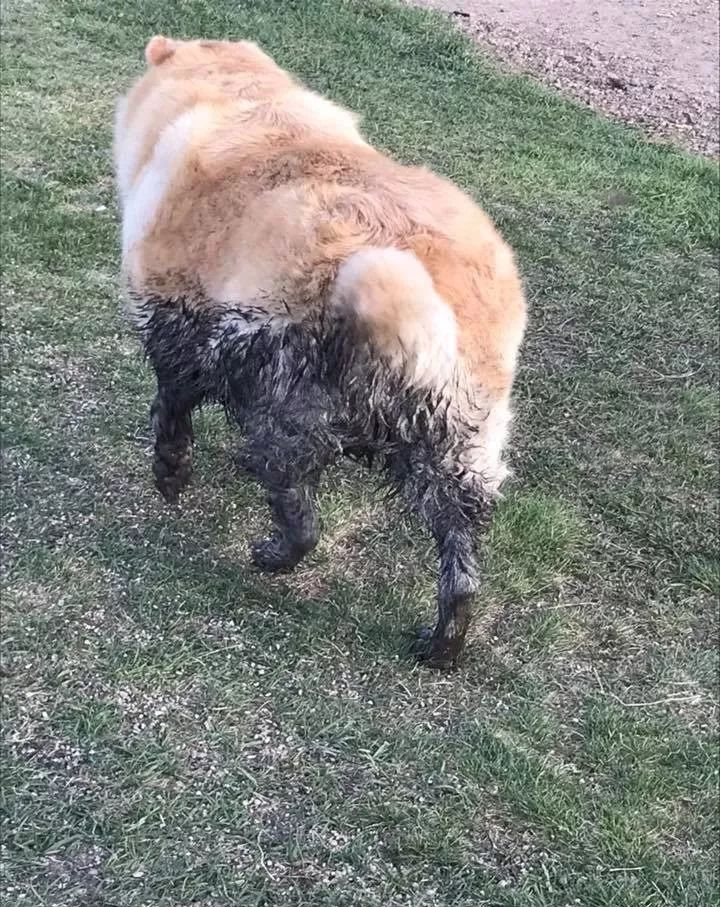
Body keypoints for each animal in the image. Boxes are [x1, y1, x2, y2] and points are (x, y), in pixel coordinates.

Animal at [115, 37, 524, 668]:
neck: (240, 95)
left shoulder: (175, 321)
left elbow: (171, 408)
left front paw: (170, 474)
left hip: (284, 409)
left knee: (300, 518)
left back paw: (271, 554)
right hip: (459, 450)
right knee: (461, 567)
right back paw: (442, 644)